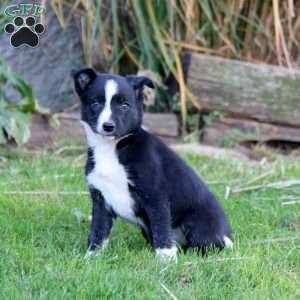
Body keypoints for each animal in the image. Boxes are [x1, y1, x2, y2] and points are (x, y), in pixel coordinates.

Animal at [71, 68, 233, 260]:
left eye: (124, 105)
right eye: (95, 103)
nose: (108, 126)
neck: (112, 148)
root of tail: (228, 237)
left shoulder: (155, 195)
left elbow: (161, 225)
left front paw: (166, 258)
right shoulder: (100, 199)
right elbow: (98, 230)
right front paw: (92, 257)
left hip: (198, 226)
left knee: (207, 246)